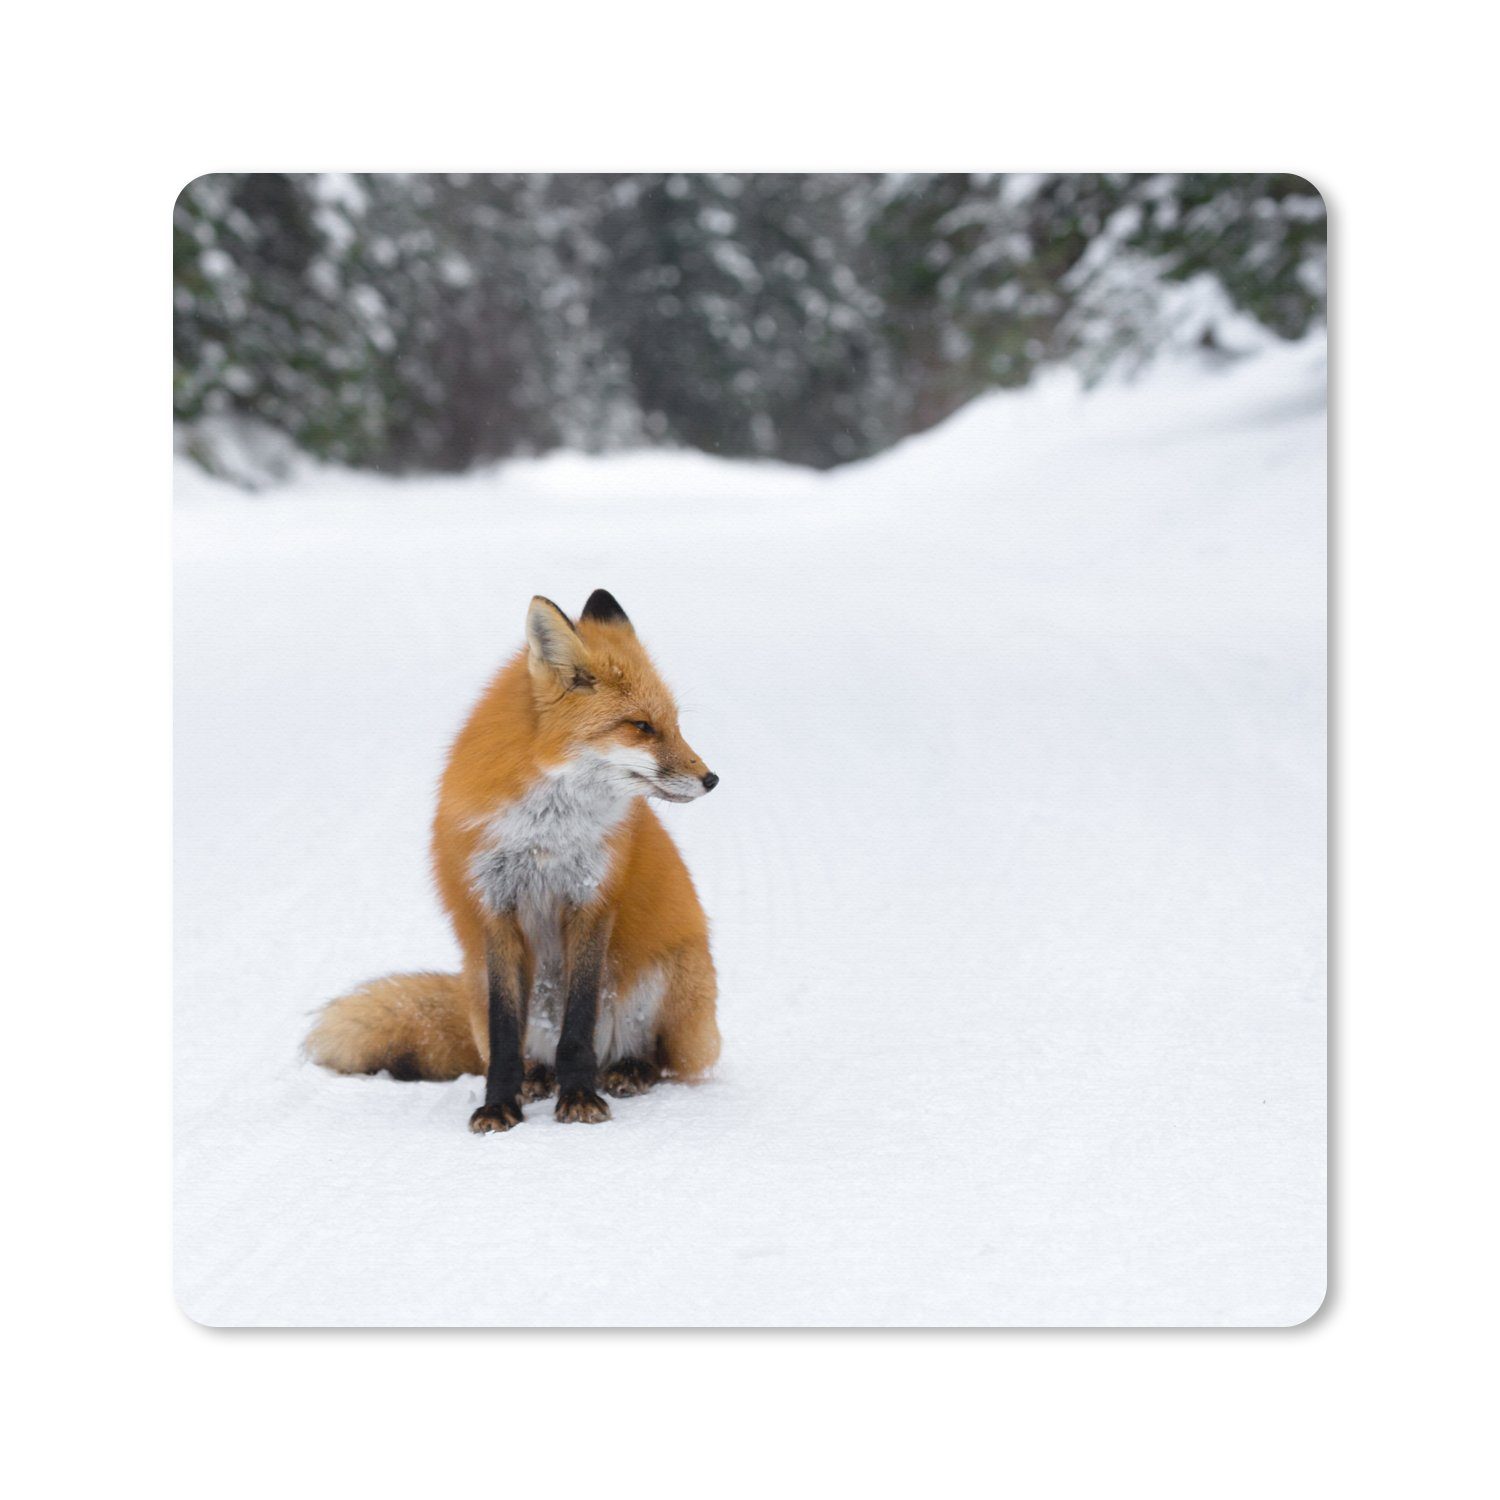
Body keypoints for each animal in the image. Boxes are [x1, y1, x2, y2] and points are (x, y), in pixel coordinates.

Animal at [305, 589, 721, 1132]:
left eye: (673, 724)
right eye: (641, 727)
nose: (712, 779)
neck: (544, 835)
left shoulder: (591, 901)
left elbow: (578, 1026)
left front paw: (578, 1097)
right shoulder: (494, 906)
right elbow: (505, 1037)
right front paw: (500, 1103)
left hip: (666, 979)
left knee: (657, 1057)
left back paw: (626, 1071)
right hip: (479, 981)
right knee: (520, 1050)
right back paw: (537, 1078)